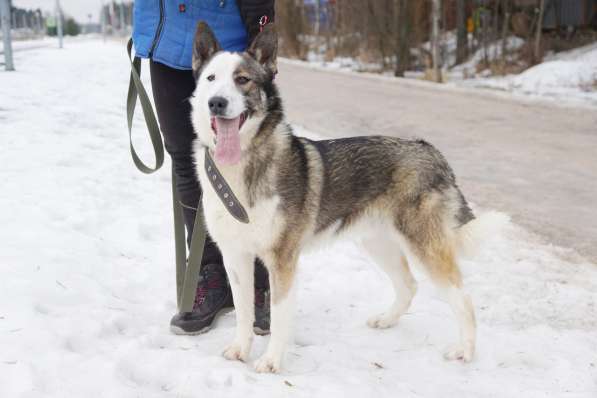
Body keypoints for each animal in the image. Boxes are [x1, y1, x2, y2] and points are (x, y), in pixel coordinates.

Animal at [189, 21, 492, 372]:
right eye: (211, 79)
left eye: (242, 79)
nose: (217, 102)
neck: (244, 165)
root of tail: (431, 151)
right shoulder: (235, 256)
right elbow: (242, 311)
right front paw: (240, 350)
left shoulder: (282, 261)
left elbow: (278, 317)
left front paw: (272, 362)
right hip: (376, 242)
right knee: (409, 285)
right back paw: (387, 320)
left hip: (424, 246)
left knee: (463, 298)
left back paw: (465, 351)